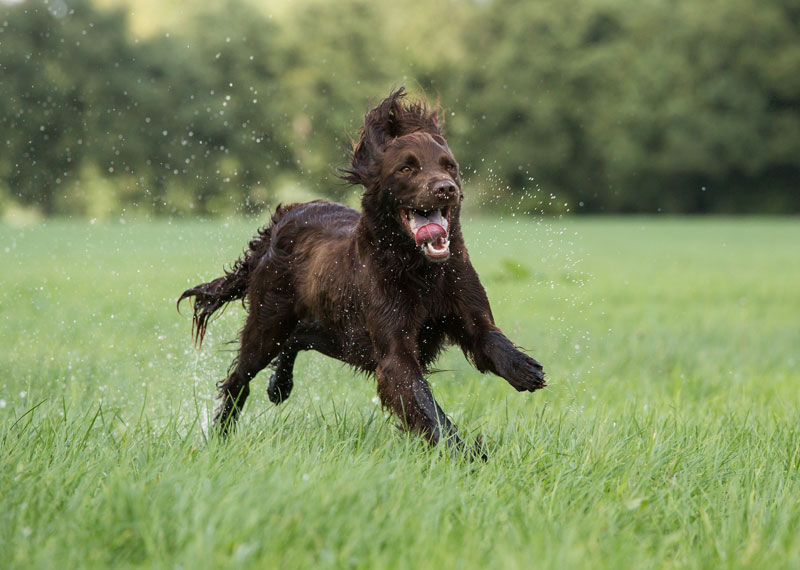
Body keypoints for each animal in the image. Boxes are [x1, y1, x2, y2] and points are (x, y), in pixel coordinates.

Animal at [179, 86, 548, 454]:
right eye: (407, 169)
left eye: (450, 166)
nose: (446, 188)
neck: (420, 271)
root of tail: (284, 216)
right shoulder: (394, 349)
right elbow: (423, 403)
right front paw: (462, 451)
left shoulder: (466, 309)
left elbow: (490, 338)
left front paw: (523, 370)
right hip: (269, 322)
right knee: (239, 377)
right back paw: (222, 431)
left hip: (332, 330)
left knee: (296, 340)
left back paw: (278, 385)